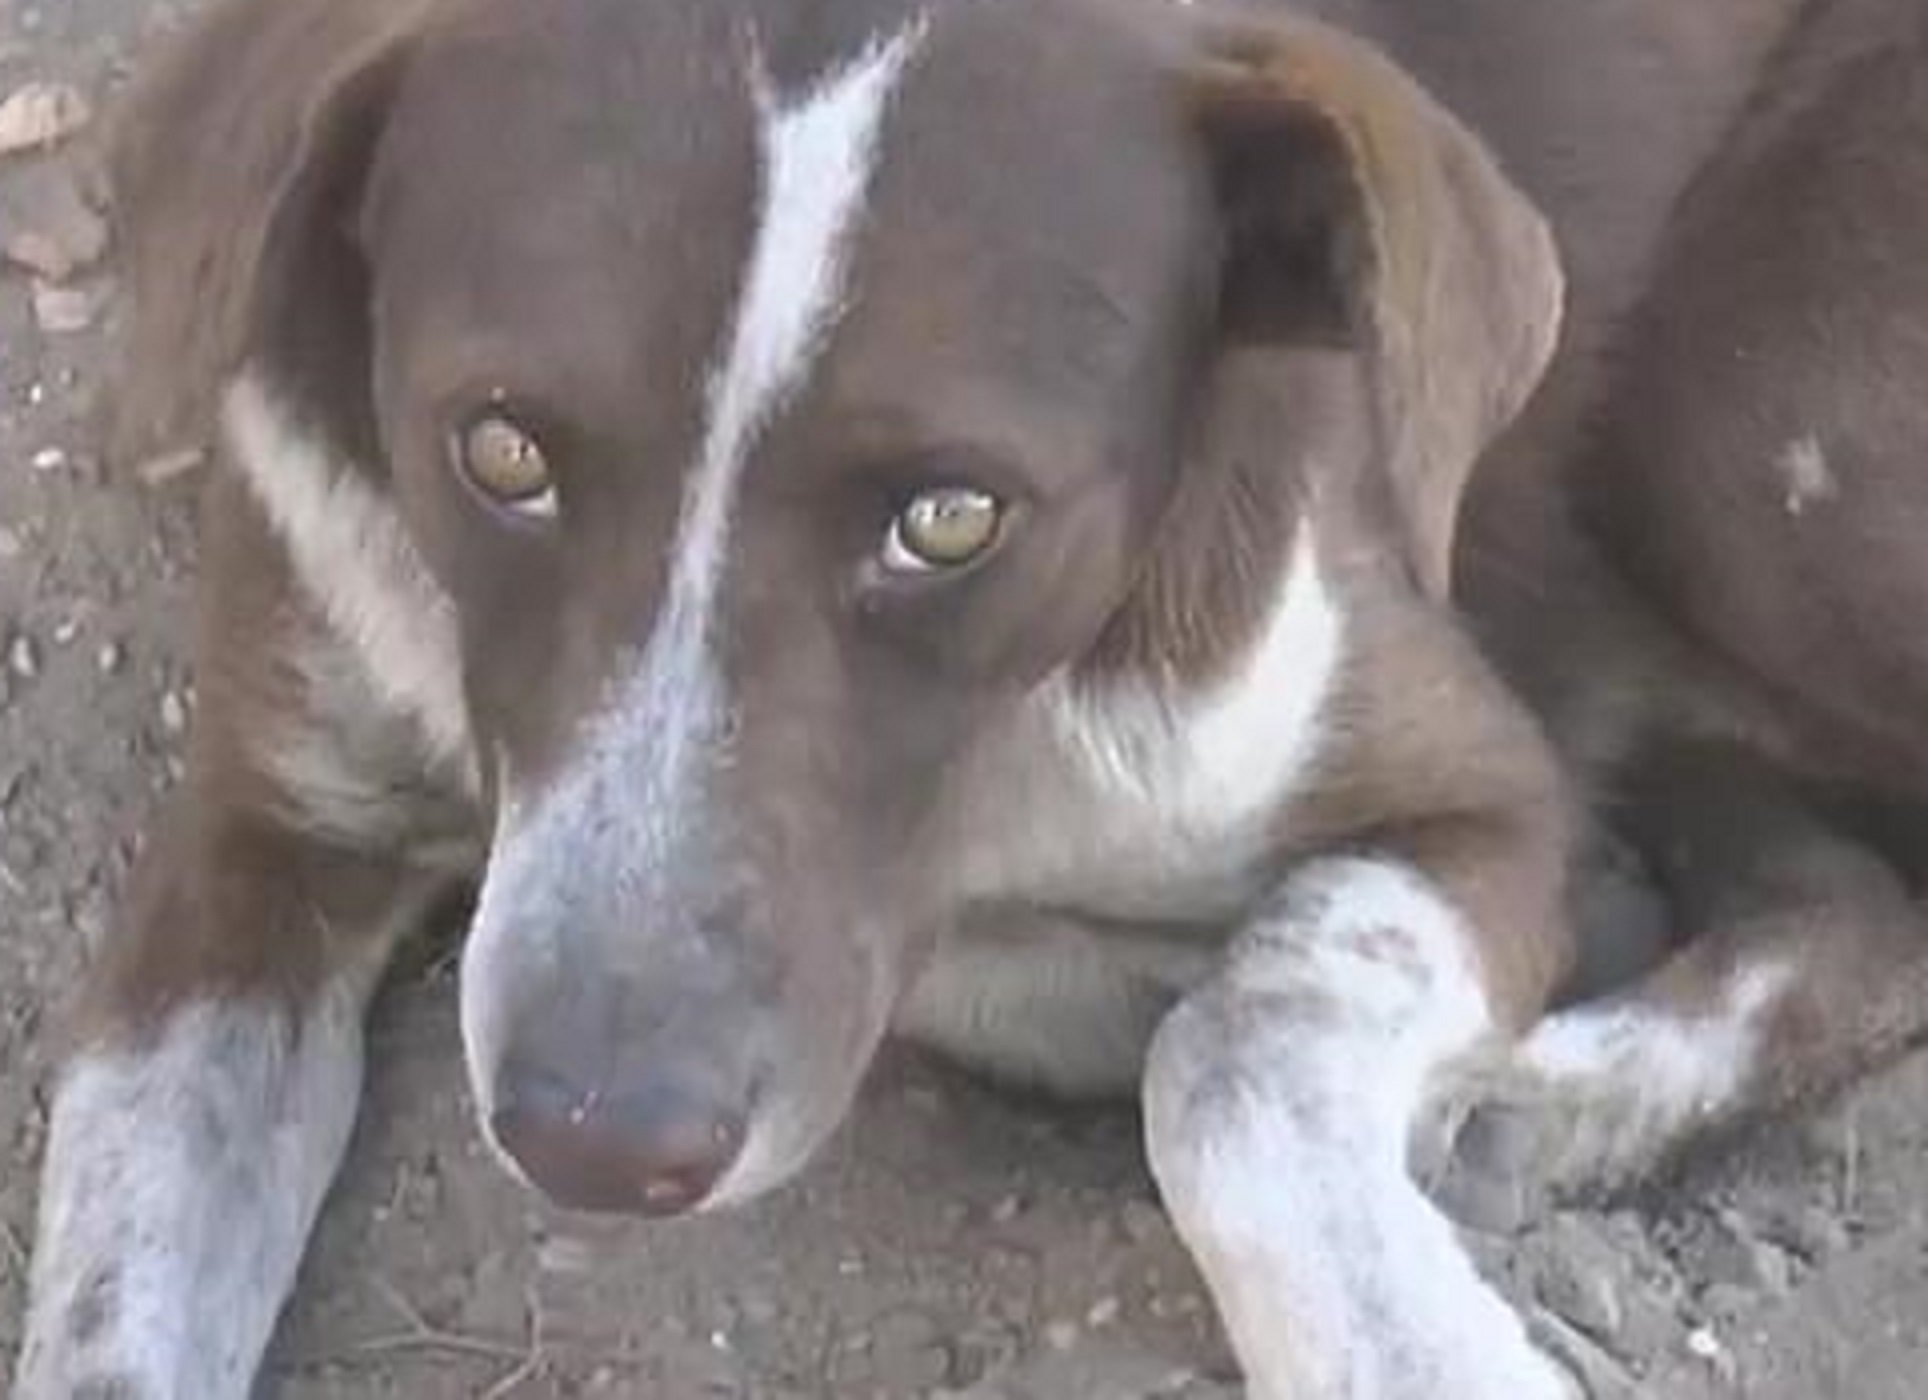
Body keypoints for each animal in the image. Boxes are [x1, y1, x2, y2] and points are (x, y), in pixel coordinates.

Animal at [11, 0, 1928, 1396]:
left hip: (1741, 427)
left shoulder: (1479, 794)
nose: (597, 1142)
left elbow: (1228, 1049)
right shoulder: (267, 842)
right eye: (497, 450)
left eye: (952, 518)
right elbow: (109, 1283)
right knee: (1854, 898)